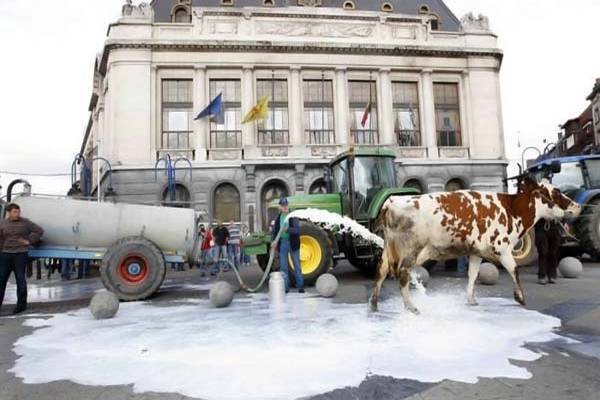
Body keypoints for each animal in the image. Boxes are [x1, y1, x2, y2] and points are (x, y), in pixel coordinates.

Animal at [370, 179, 580, 316]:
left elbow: (472, 274)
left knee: (381, 271)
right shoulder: (502, 247)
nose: (577, 206)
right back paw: (410, 307)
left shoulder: (476, 251)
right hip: (411, 249)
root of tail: (392, 201)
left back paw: (373, 305)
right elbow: (514, 269)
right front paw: (520, 298)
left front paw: (471, 299)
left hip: (389, 248)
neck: (512, 210)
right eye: (556, 191)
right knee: (402, 273)